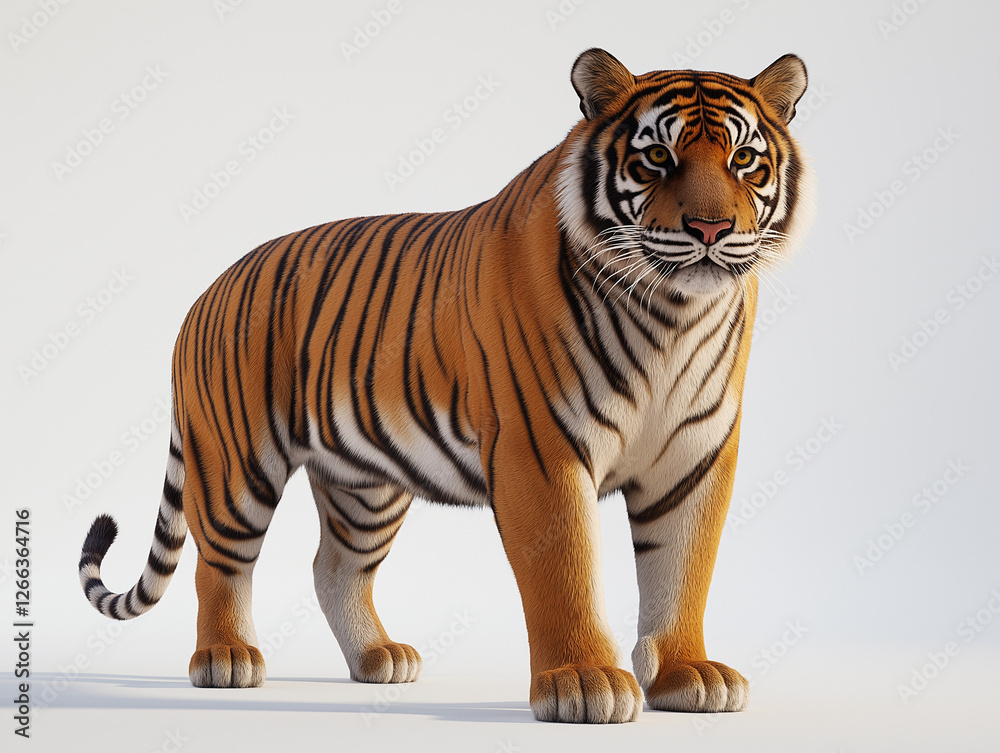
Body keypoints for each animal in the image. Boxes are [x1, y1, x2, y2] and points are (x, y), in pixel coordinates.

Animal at [79, 48, 812, 724]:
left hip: (366, 485)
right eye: (657, 156)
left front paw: (688, 673)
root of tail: (208, 288)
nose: (712, 228)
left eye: (744, 160)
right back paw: (226, 658)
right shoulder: (542, 448)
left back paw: (379, 658)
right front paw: (583, 681)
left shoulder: (697, 454)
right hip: (236, 464)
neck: (673, 313)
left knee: (334, 567)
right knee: (220, 565)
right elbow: (566, 568)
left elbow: (684, 568)